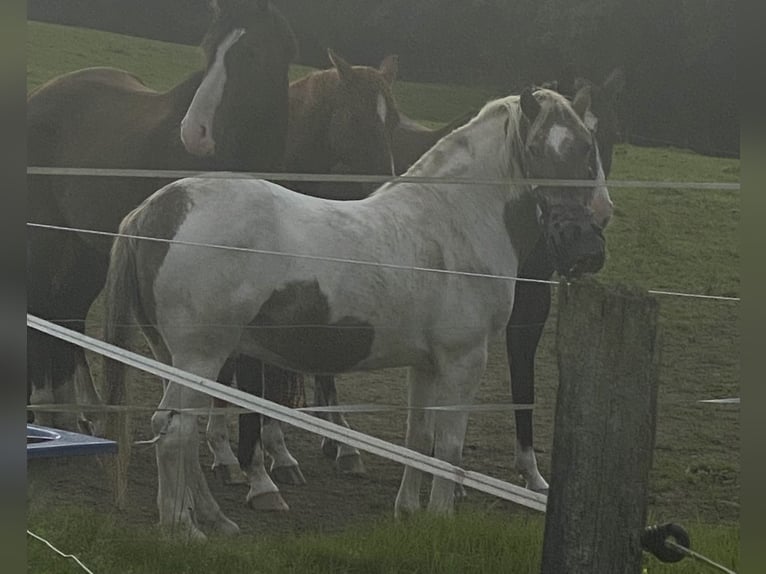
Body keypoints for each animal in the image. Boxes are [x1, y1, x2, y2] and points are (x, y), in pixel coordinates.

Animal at [27, 0, 298, 436]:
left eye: (253, 54)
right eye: (208, 51)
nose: (194, 133)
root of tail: (40, 94)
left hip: (88, 247)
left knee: (66, 310)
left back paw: (83, 413)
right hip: (48, 236)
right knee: (43, 306)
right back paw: (51, 408)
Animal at [105, 86, 616, 540]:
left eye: (588, 149)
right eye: (551, 150)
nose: (585, 247)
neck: (449, 225)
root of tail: (154, 212)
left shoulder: (426, 365)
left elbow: (419, 439)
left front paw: (409, 513)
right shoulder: (463, 360)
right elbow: (449, 448)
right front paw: (442, 518)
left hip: (178, 358)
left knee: (186, 434)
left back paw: (215, 519)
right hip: (202, 356)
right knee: (173, 432)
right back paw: (184, 530)